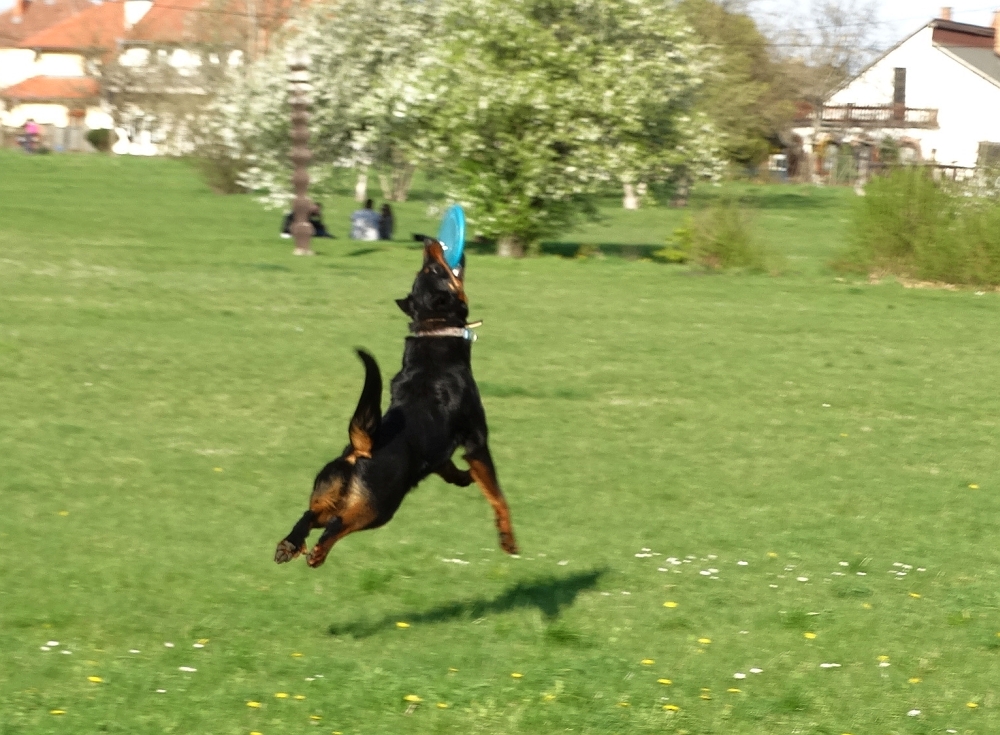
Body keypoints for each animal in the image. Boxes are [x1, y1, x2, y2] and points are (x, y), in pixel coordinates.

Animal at [276, 242, 520, 568]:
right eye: (436, 269)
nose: (429, 244)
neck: (435, 330)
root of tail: (361, 448)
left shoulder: (438, 452)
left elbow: (452, 471)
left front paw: (465, 478)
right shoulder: (476, 442)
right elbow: (498, 495)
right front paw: (508, 540)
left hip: (330, 494)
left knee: (309, 515)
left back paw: (289, 545)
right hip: (377, 507)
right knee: (336, 525)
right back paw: (317, 552)